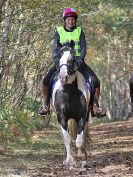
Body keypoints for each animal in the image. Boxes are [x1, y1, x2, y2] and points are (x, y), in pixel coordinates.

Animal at [51, 41, 91, 169]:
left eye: (72, 59)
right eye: (58, 58)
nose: (63, 77)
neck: (69, 92)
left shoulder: (82, 117)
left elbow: (79, 140)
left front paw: (82, 158)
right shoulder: (61, 117)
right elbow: (67, 139)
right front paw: (69, 160)